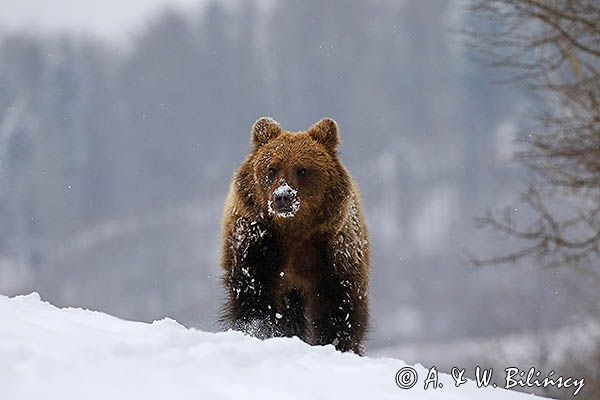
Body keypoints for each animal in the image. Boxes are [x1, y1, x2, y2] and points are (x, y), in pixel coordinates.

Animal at [220, 115, 370, 354]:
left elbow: (340, 305)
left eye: (302, 169)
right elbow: (254, 295)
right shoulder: (256, 243)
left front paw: (338, 344)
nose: (283, 196)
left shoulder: (332, 251)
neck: (293, 231)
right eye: (272, 168)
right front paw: (261, 330)